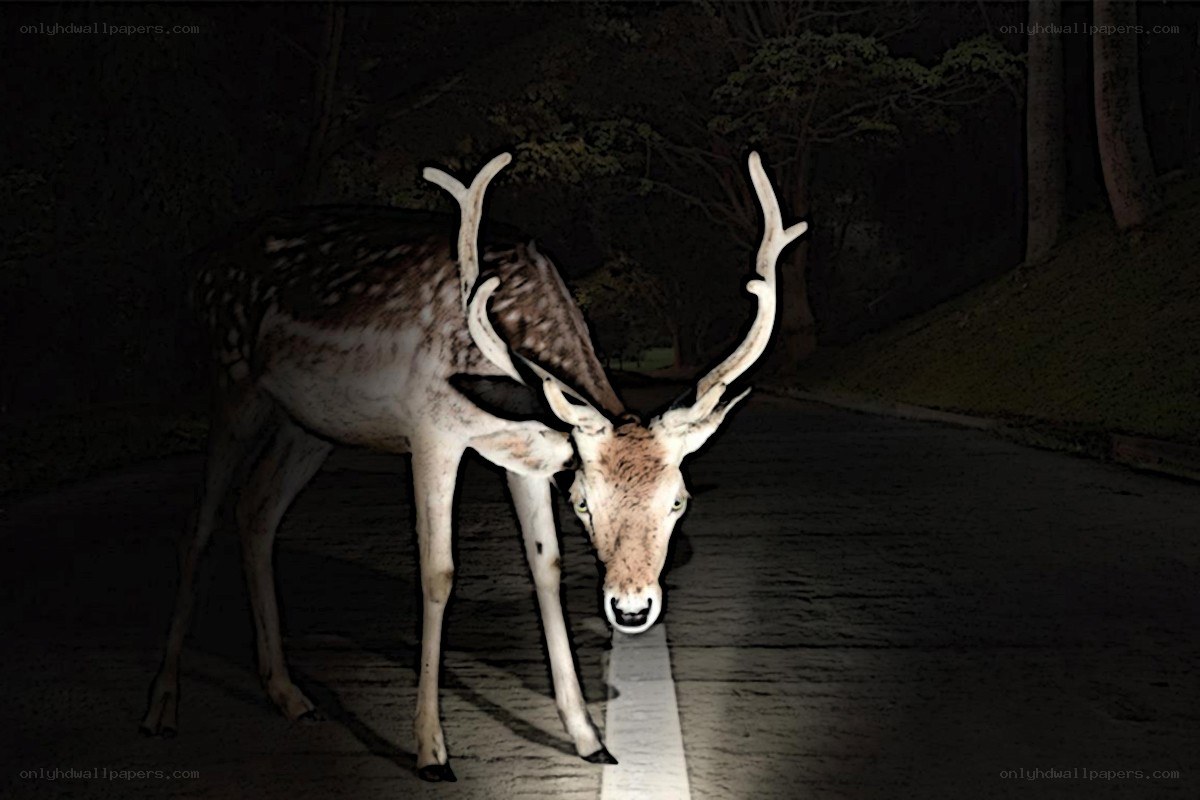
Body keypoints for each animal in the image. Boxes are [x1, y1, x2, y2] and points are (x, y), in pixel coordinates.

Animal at [139, 149, 806, 782]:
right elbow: (438, 573)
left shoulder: (529, 458)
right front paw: (431, 750)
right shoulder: (431, 429)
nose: (632, 607)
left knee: (256, 509)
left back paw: (288, 695)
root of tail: (199, 266)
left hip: (309, 424)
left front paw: (589, 738)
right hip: (232, 382)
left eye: (677, 499)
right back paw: (163, 707)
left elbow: (547, 570)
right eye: (583, 501)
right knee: (198, 525)